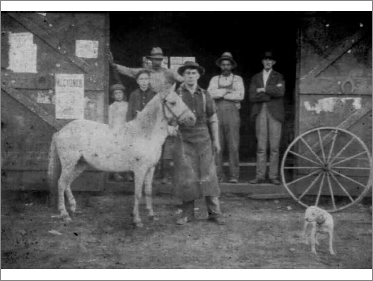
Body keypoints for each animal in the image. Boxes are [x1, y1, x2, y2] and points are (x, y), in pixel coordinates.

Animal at [48, 84, 196, 226]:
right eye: (172, 102)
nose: (192, 118)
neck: (144, 134)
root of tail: (60, 132)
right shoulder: (140, 170)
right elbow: (138, 193)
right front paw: (137, 220)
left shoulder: (151, 168)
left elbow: (148, 191)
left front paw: (151, 215)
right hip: (69, 163)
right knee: (61, 183)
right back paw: (65, 215)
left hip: (80, 164)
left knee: (67, 182)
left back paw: (73, 208)